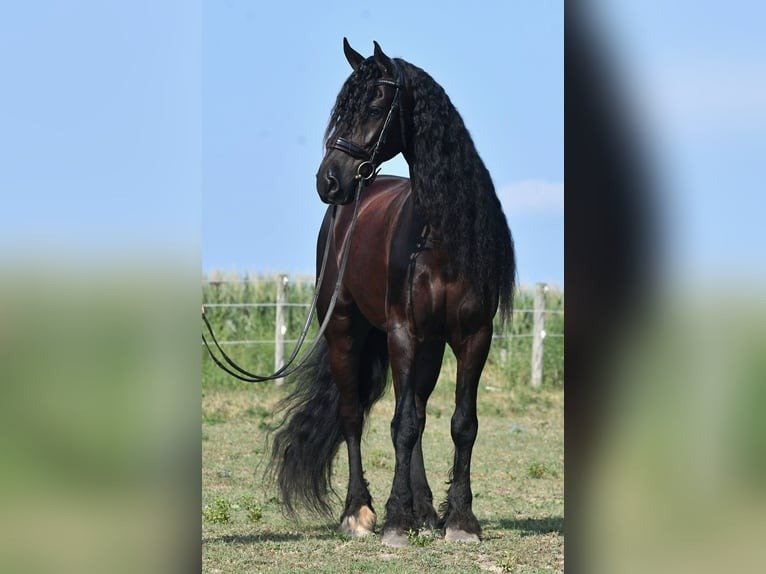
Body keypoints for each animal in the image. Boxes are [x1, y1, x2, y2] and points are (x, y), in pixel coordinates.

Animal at [268, 39, 515, 547]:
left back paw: (426, 512)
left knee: (417, 411)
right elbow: (400, 426)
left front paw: (459, 521)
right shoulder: (403, 331)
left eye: (375, 105)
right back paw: (358, 513)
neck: (441, 237)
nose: (328, 180)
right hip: (345, 330)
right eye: (341, 108)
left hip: (431, 347)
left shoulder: (472, 336)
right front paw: (396, 520)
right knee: (353, 416)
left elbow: (461, 424)